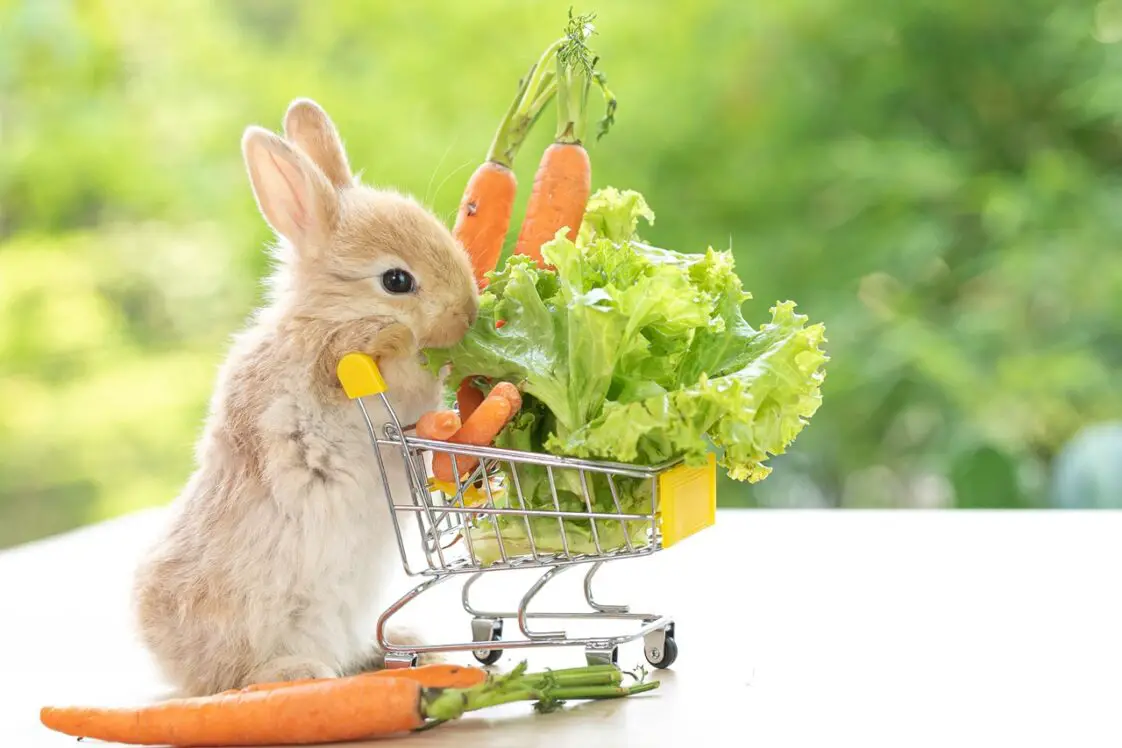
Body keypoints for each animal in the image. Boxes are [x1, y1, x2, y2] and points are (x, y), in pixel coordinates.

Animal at [130, 98, 479, 698]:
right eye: (396, 280)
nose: (471, 313)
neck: (329, 316)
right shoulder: (333, 373)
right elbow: (391, 365)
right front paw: (395, 339)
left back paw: (408, 644)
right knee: (232, 680)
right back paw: (293, 673)